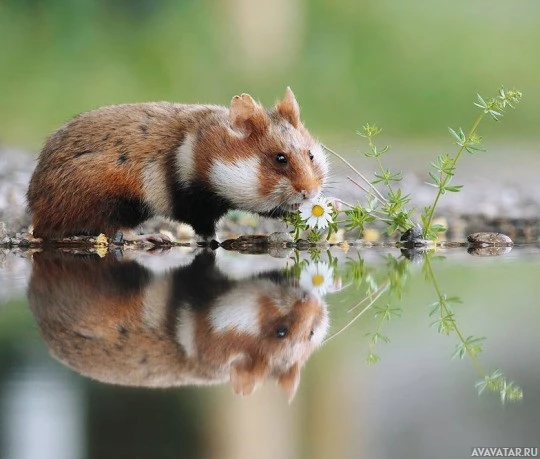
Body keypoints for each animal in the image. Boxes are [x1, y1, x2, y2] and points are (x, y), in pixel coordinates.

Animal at [27, 87, 330, 241]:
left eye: (311, 156)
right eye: (280, 159)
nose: (310, 193)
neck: (211, 155)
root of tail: (37, 216)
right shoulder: (196, 202)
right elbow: (206, 233)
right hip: (109, 200)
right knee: (115, 232)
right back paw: (154, 238)